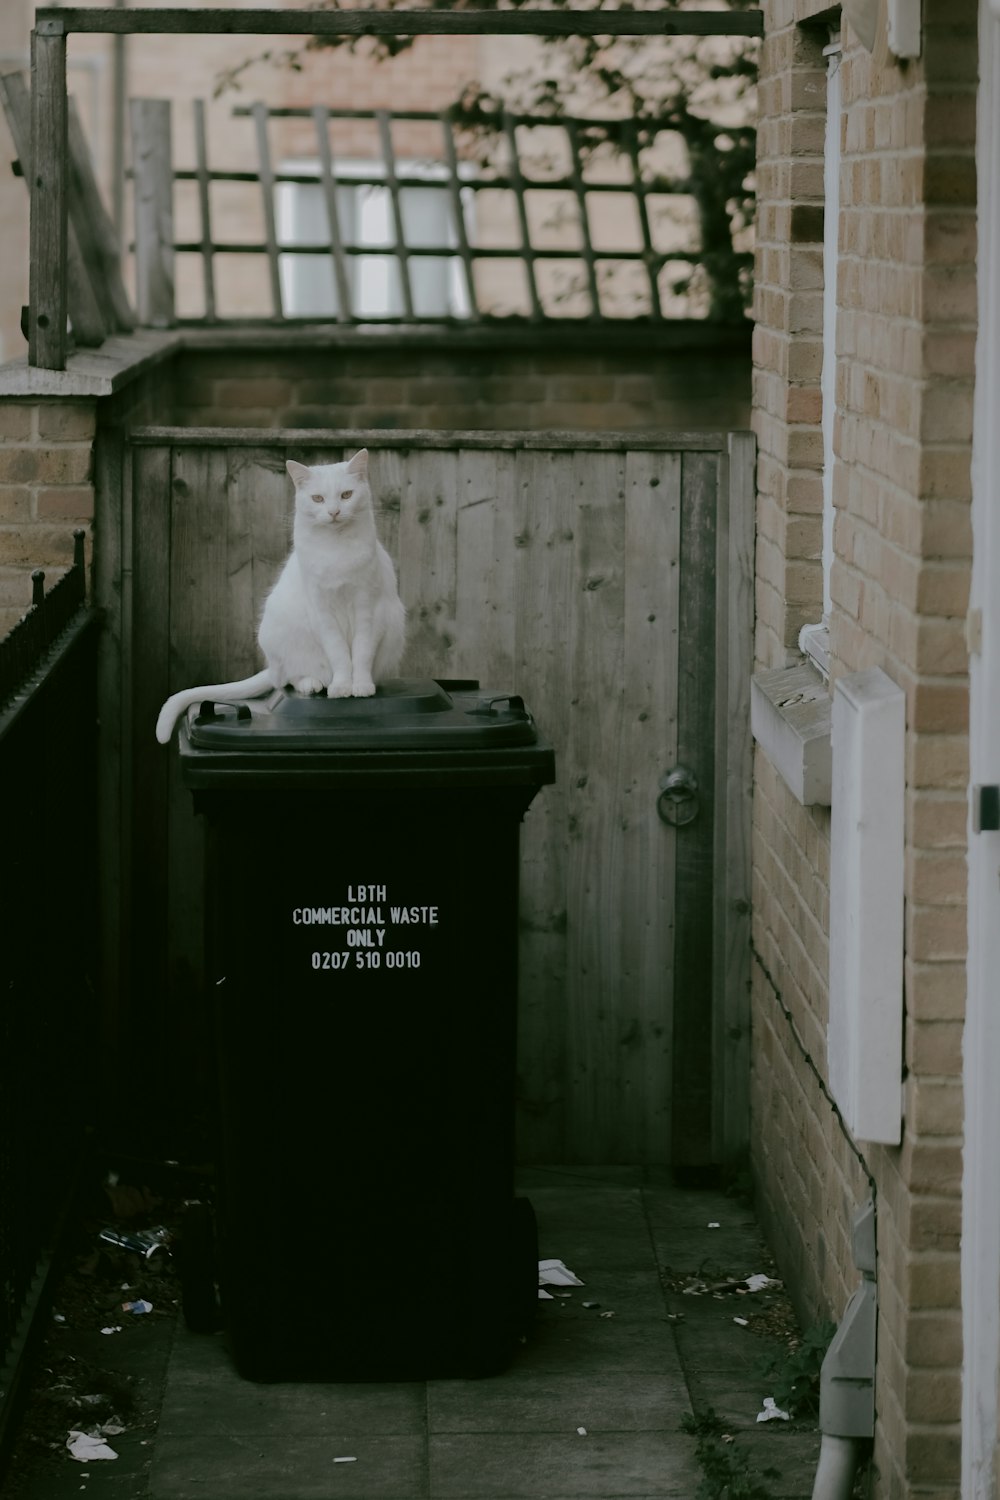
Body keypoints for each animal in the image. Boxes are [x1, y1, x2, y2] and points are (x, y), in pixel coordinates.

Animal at [154, 447, 404, 747]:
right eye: (318, 498)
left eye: (346, 495)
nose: (333, 512)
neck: (336, 548)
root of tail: (271, 666)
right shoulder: (322, 612)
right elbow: (340, 654)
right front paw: (342, 686)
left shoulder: (368, 608)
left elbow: (362, 652)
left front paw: (361, 685)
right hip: (280, 631)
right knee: (286, 678)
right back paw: (313, 683)